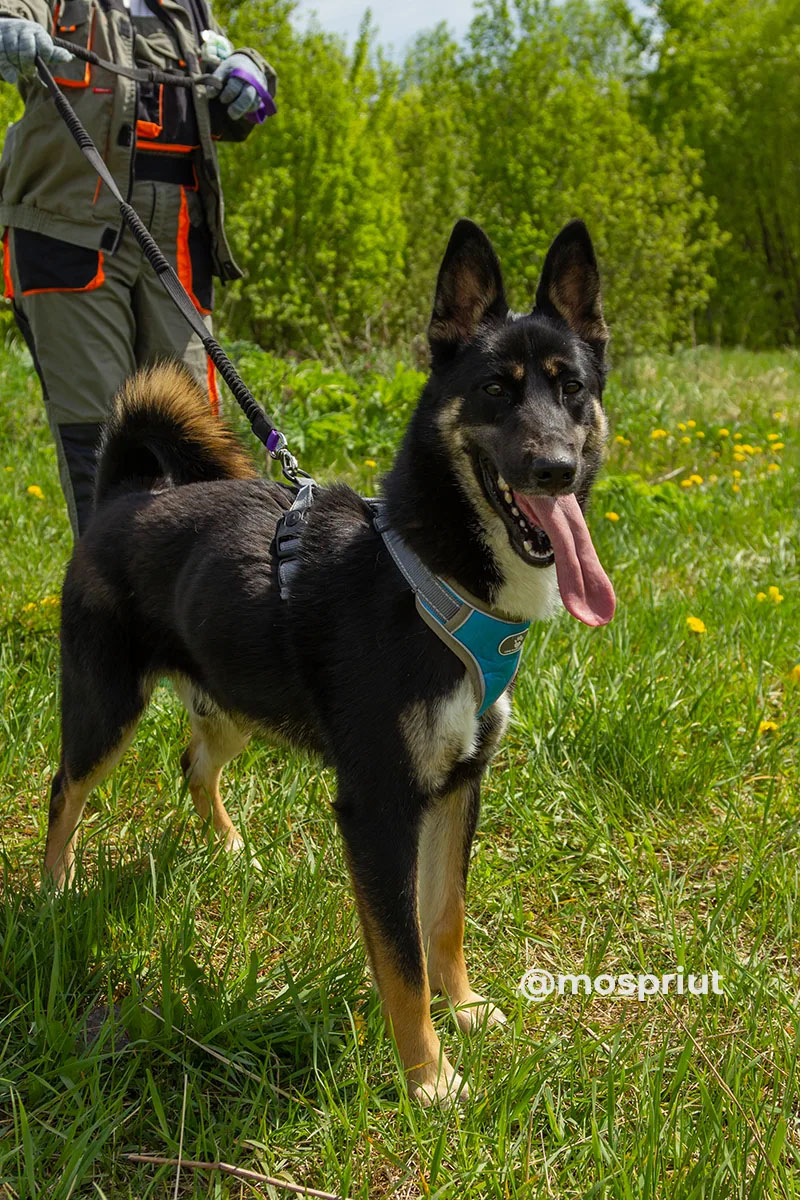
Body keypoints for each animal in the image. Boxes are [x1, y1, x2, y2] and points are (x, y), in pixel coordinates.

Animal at [47, 218, 618, 1104]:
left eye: (573, 389)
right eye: (495, 388)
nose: (555, 467)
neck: (434, 572)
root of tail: (124, 498)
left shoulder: (460, 784)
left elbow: (445, 917)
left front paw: (467, 1009)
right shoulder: (378, 805)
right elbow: (402, 959)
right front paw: (429, 1080)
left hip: (232, 703)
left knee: (193, 762)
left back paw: (229, 847)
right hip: (104, 706)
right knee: (65, 792)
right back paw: (53, 895)